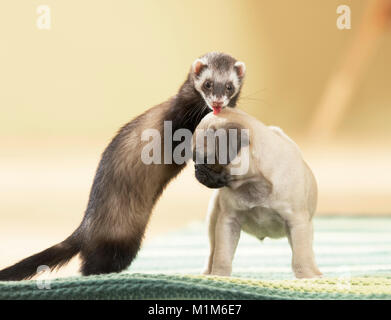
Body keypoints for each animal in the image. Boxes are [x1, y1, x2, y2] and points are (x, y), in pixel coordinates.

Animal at [192, 107, 322, 278]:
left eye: (205, 159)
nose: (196, 168)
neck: (253, 183)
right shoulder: (228, 221)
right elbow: (222, 255)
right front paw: (219, 276)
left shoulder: (297, 221)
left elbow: (301, 256)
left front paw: (307, 277)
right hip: (213, 218)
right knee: (213, 249)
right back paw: (208, 272)